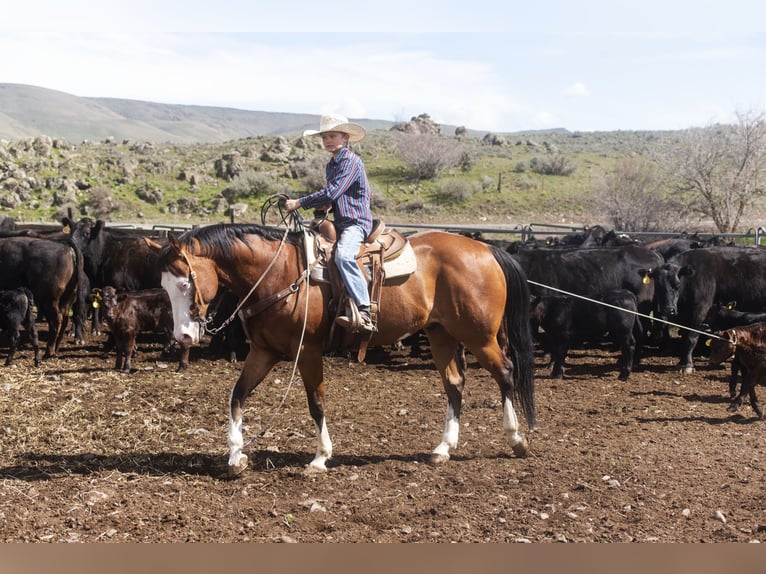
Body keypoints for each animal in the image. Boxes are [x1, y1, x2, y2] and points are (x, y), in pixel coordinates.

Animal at [159, 223, 536, 480]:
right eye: (164, 285)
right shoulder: (264, 352)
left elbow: (316, 403)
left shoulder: (308, 352)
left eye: (185, 282)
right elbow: (237, 395)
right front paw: (236, 457)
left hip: (479, 336)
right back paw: (443, 449)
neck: (277, 273)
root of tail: (486, 250)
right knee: (454, 384)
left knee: (505, 373)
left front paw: (320, 458)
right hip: (441, 334)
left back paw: (516, 440)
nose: (183, 335)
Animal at [656, 246, 766, 374]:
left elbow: (690, 338)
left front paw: (687, 365)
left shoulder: (701, 309)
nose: (668, 309)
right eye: (658, 286)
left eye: (677, 285)